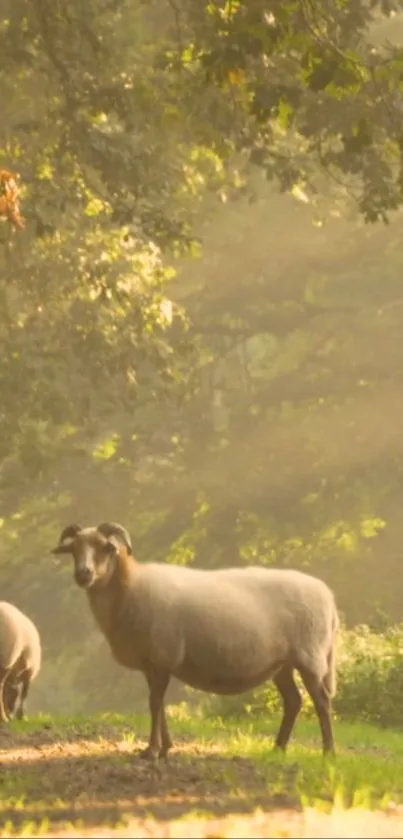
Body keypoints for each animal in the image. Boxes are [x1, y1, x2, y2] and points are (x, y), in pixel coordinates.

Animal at [52, 520, 340, 756]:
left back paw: (328, 751)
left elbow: (154, 704)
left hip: (310, 657)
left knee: (322, 700)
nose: (83, 574)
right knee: (294, 701)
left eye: (105, 547)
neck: (130, 585)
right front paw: (165, 747)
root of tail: (328, 595)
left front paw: (152, 750)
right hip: (282, 664)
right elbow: (158, 703)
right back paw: (278, 748)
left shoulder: (162, 656)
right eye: (74, 549)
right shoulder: (152, 662)